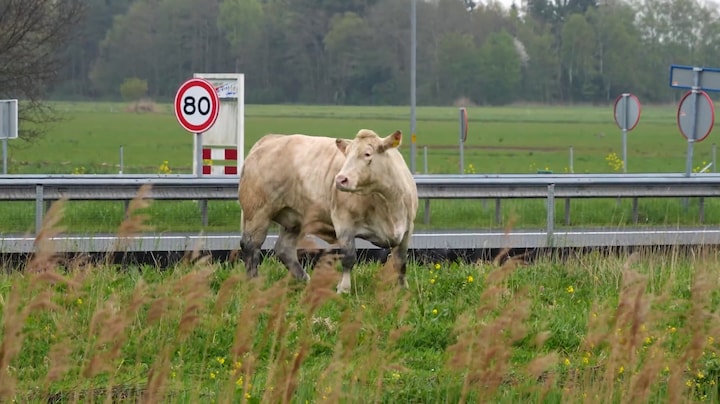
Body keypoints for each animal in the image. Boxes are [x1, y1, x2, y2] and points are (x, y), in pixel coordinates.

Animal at [238, 129, 419, 293]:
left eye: (367, 153)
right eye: (346, 154)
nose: (340, 179)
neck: (388, 202)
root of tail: (270, 139)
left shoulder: (407, 228)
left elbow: (401, 261)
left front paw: (403, 289)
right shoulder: (344, 223)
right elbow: (349, 257)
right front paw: (343, 289)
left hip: (294, 219)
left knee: (284, 249)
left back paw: (305, 280)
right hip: (257, 212)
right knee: (251, 247)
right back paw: (253, 284)